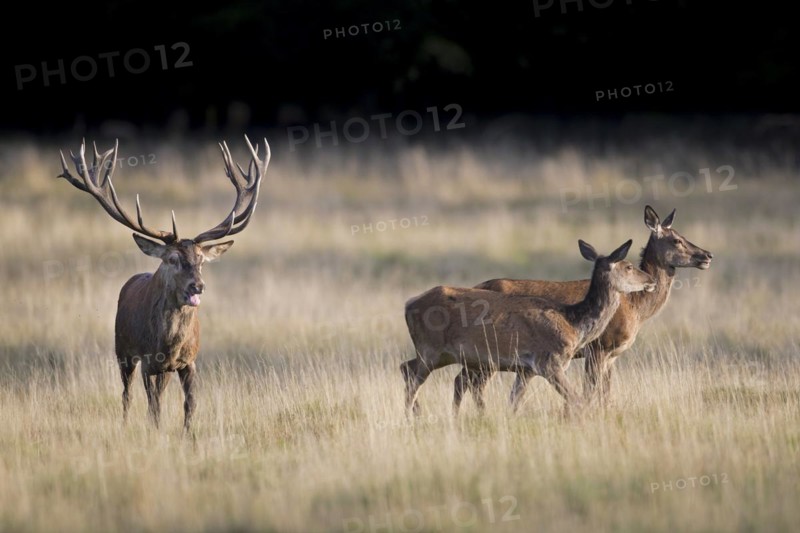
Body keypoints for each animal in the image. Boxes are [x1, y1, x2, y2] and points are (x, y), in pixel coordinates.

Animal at [57, 135, 269, 432]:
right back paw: (125, 424)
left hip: (160, 367)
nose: (197, 286)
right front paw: (155, 432)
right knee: (127, 394)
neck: (169, 344)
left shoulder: (188, 361)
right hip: (122, 349)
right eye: (172, 258)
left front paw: (188, 435)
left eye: (201, 259)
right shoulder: (147, 360)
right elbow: (153, 406)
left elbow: (190, 405)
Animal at [401, 239, 656, 416]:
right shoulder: (549, 361)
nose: (650, 280)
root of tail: (408, 303)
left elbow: (514, 402)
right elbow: (577, 400)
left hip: (444, 354)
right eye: (628, 266)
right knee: (413, 377)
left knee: (408, 368)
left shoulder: (527, 369)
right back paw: (411, 417)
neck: (573, 323)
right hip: (430, 348)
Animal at [453, 205, 713, 414]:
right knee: (467, 381)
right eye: (676, 240)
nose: (707, 255)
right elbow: (591, 392)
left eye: (683, 235)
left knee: (465, 381)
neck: (636, 308)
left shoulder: (611, 355)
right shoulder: (599, 347)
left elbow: (606, 393)